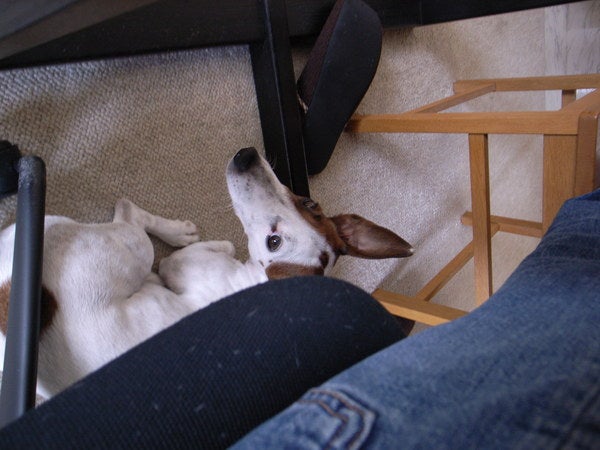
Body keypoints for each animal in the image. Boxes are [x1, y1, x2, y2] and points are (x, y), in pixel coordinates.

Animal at [0, 147, 413, 398]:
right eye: (309, 201)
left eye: (274, 242)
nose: (247, 156)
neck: (253, 280)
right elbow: (227, 244)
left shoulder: (180, 265)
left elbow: (192, 255)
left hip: (128, 245)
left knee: (129, 213)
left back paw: (174, 231)